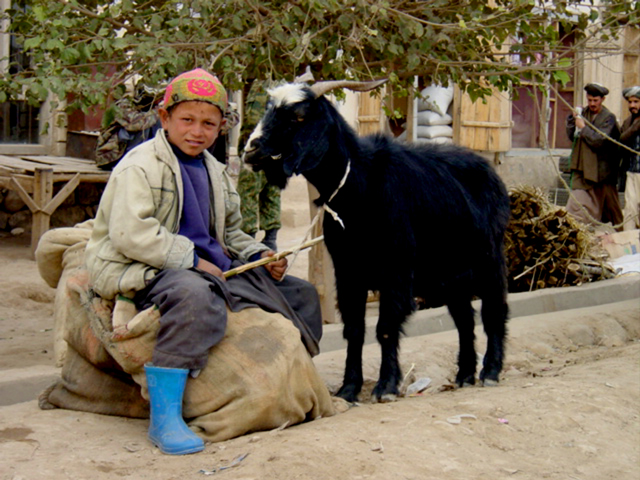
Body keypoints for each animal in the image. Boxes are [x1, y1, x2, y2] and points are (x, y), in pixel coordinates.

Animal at [245, 79, 510, 402]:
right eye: (269, 109)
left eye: (299, 116)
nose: (250, 149)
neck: (360, 186)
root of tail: (491, 175)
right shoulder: (347, 271)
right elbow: (354, 329)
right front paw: (348, 388)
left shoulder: (396, 269)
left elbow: (385, 327)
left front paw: (386, 386)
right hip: (451, 275)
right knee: (464, 319)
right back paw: (464, 376)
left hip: (489, 259)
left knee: (494, 310)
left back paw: (490, 372)